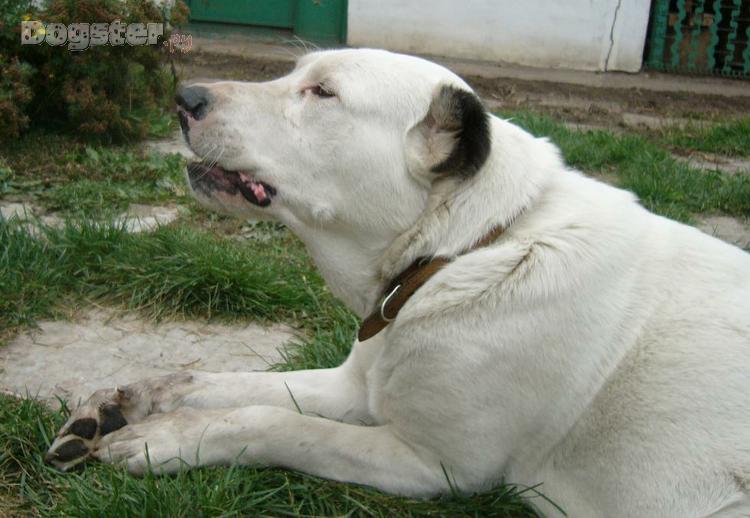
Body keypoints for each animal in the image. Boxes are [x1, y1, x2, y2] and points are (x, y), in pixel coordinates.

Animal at [46, 49, 750, 517]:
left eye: (322, 94)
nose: (183, 97)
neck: (462, 251)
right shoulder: (353, 385)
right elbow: (228, 384)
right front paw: (129, 399)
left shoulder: (436, 465)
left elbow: (276, 423)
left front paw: (168, 439)